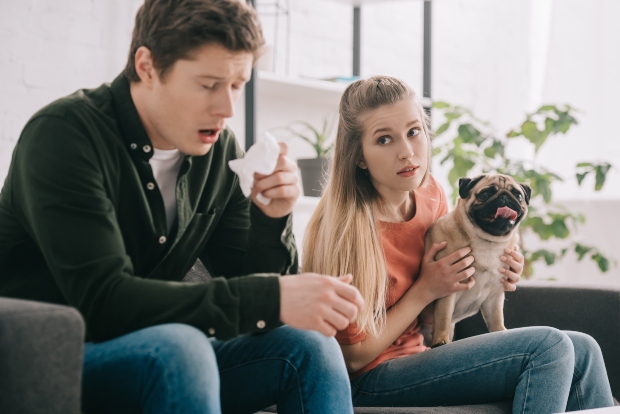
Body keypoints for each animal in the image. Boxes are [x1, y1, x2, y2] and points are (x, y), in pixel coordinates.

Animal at [426, 173, 532, 348]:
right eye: (486, 194)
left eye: (518, 195)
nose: (504, 197)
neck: (487, 243)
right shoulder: (447, 291)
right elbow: (443, 317)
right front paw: (440, 341)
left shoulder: (495, 295)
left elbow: (496, 317)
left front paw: (499, 332)